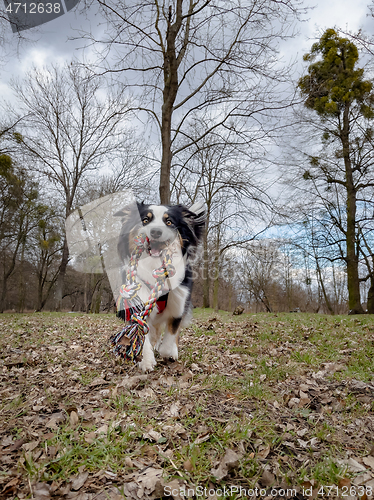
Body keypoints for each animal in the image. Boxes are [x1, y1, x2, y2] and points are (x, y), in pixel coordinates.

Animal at [116, 200, 206, 372]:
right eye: (145, 220)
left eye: (169, 222)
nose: (156, 232)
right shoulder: (139, 301)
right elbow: (141, 330)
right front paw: (146, 360)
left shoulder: (179, 301)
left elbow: (172, 332)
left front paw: (169, 353)